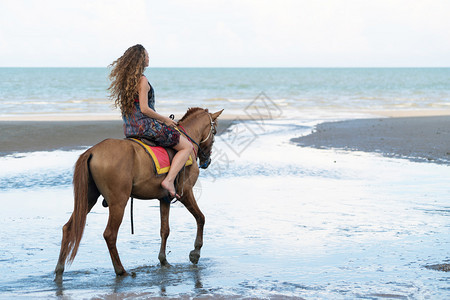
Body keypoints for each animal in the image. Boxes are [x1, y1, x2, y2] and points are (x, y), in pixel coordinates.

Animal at [54, 107, 223, 278]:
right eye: (214, 132)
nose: (207, 161)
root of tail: (92, 151)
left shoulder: (164, 199)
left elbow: (165, 230)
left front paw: (163, 260)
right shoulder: (186, 192)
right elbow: (201, 218)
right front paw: (196, 252)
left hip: (88, 198)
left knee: (68, 228)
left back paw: (59, 268)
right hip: (118, 202)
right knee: (110, 234)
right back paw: (120, 270)